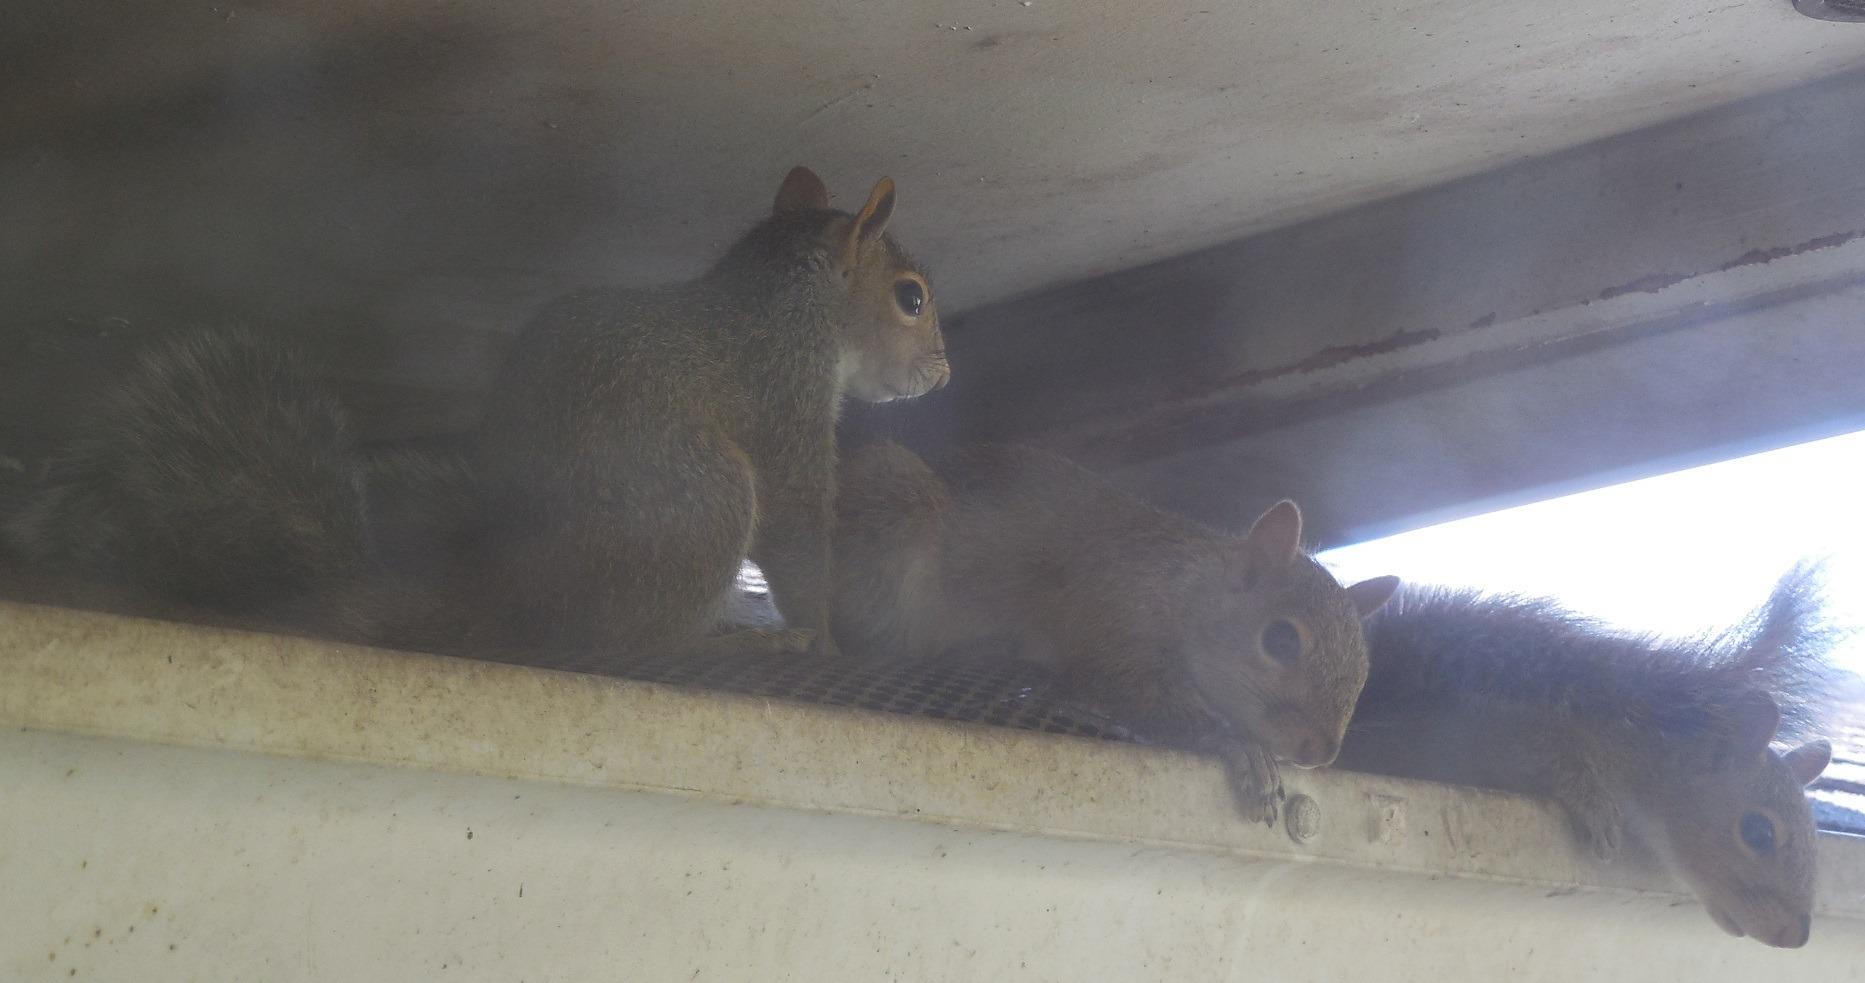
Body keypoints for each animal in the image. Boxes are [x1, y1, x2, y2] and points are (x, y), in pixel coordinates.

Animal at [5, 167, 949, 668]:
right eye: (910, 297)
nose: (942, 370)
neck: (786, 305)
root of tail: (515, 603)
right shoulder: (781, 399)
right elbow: (796, 523)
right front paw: (823, 639)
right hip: (703, 497)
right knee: (631, 646)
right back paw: (727, 644)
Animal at [830, 441, 1400, 825]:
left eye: (1365, 669)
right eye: (1280, 640)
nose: (1319, 752)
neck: (1184, 589)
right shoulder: (1114, 616)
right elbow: (1131, 691)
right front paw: (1240, 747)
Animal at [1336, 568, 1841, 948]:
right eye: (1758, 832)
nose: (1797, 935)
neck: (1629, 750)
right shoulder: (1492, 729)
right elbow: (1552, 760)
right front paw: (1593, 803)